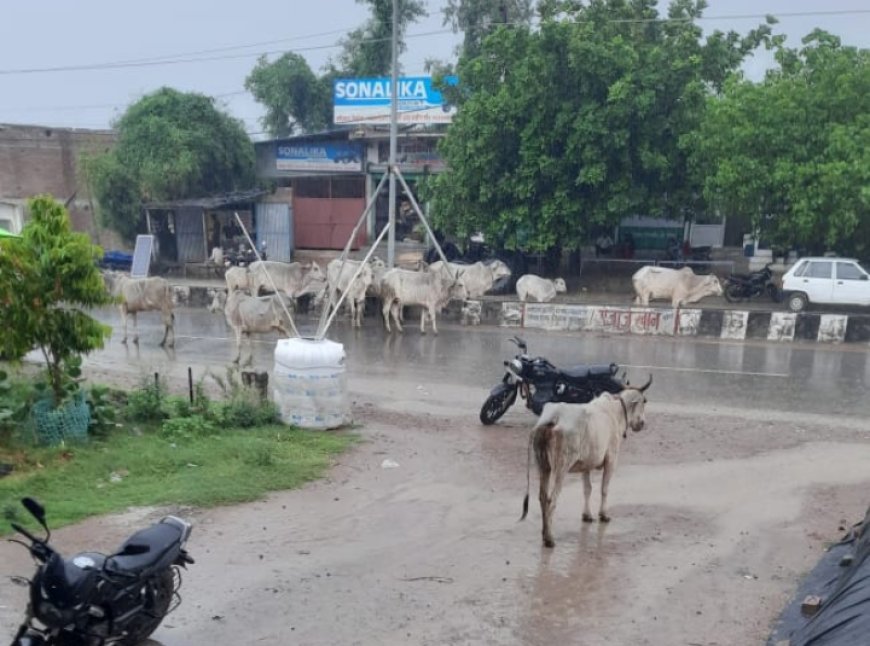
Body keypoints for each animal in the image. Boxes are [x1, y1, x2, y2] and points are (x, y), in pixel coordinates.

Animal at [520, 380, 652, 552]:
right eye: (644, 401)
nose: (642, 423)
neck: (615, 411)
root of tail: (553, 418)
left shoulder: (586, 464)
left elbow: (587, 489)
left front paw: (587, 515)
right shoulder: (611, 459)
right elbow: (604, 489)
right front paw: (603, 514)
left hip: (543, 465)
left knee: (542, 497)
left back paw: (544, 533)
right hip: (561, 467)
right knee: (551, 500)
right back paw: (549, 538)